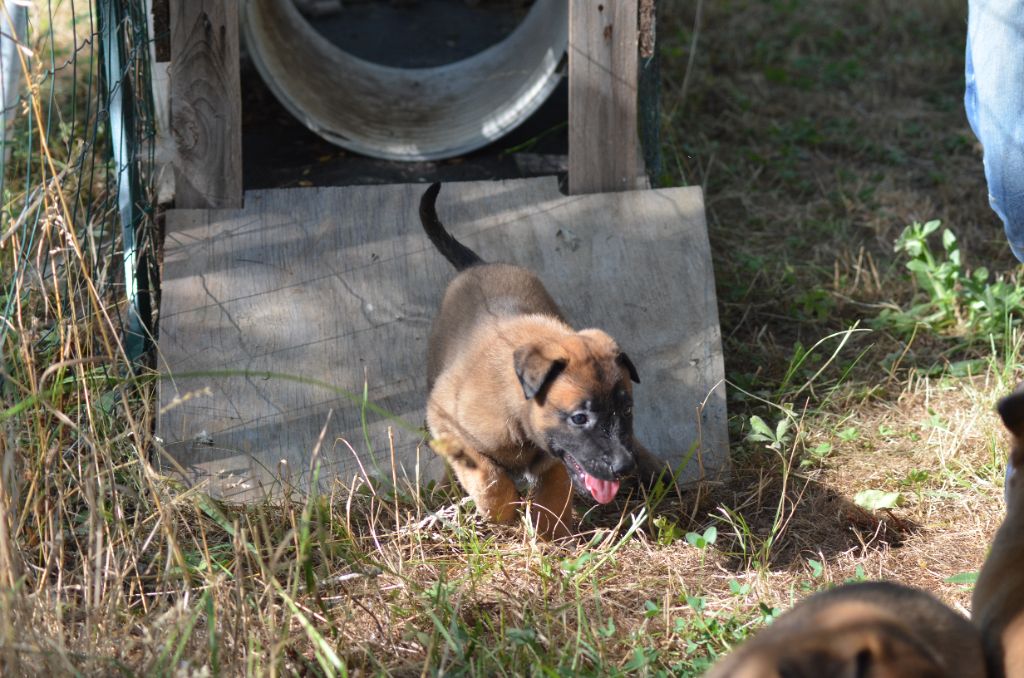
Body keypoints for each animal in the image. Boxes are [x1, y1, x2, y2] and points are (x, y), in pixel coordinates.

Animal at [417, 182, 671, 540]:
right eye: (579, 418)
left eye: (627, 410)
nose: (623, 467)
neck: (517, 417)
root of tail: (475, 265)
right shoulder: (446, 421)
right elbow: (488, 478)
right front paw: (501, 512)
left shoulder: (556, 459)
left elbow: (553, 492)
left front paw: (551, 535)